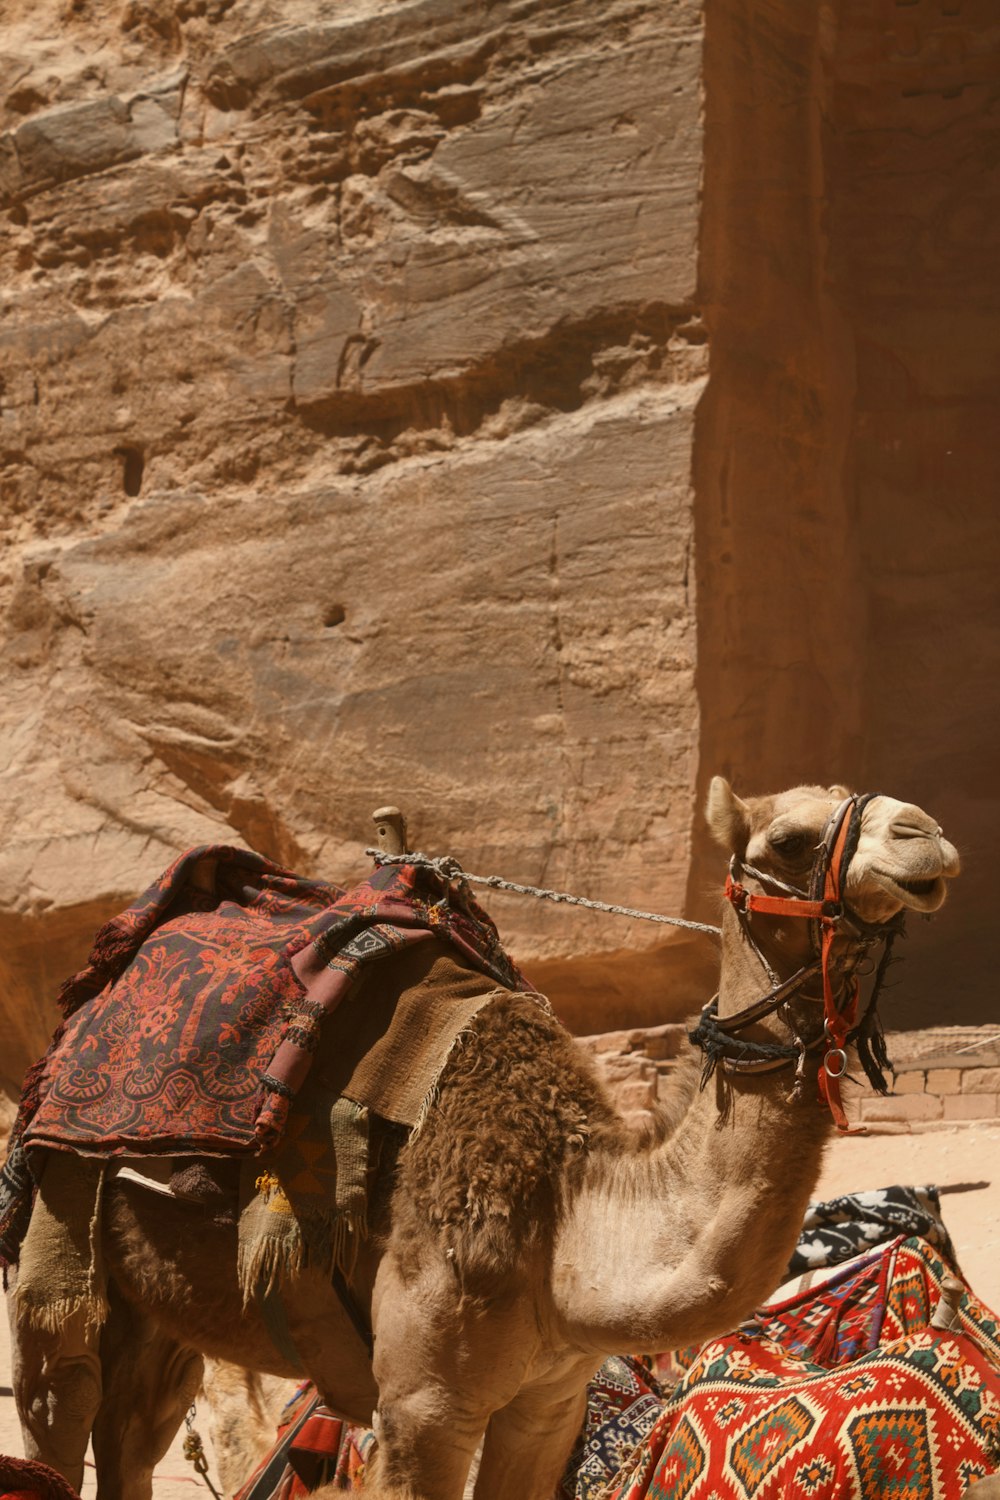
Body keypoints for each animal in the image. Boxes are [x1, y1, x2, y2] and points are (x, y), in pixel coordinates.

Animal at [9, 780, 959, 1494]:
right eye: (793, 839)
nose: (930, 835)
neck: (564, 1212)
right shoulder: (420, 1405)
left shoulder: (550, 1401)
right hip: (57, 1230)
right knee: (63, 1407)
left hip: (162, 1303)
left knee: (133, 1437)